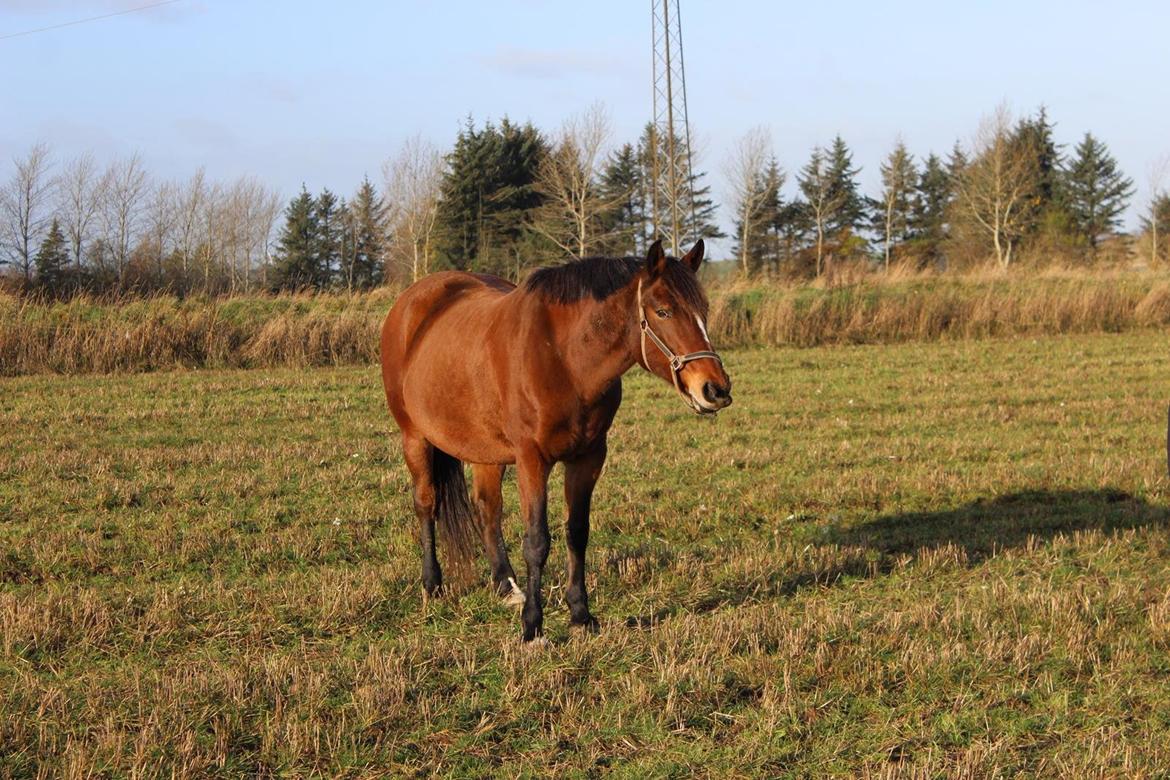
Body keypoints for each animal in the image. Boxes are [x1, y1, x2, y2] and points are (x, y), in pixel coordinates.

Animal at [383, 240, 730, 645]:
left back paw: (505, 586)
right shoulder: (533, 460)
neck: (563, 358)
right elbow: (537, 541)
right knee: (426, 504)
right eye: (663, 311)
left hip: (487, 451)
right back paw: (432, 585)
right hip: (415, 437)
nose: (715, 389)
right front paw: (533, 627)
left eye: (704, 309)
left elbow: (577, 532)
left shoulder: (589, 456)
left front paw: (581, 615)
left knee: (488, 510)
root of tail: (413, 301)